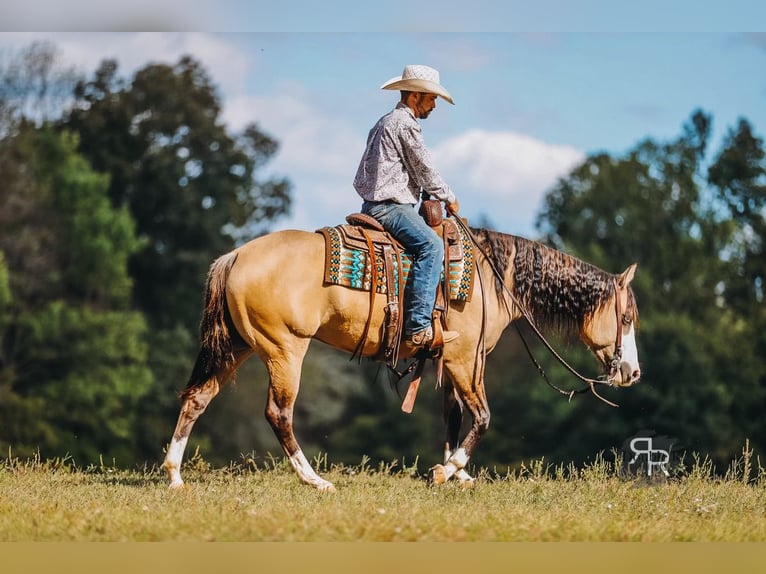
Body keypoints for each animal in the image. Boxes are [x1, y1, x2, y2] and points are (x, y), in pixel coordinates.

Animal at [162, 224, 641, 491]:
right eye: (627, 317)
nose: (632, 373)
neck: (492, 279)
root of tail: (236, 255)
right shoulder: (466, 361)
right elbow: (483, 417)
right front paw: (450, 471)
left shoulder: (451, 363)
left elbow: (453, 418)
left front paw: (453, 471)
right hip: (285, 350)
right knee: (278, 413)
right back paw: (314, 480)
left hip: (236, 346)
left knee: (197, 399)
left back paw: (174, 475)